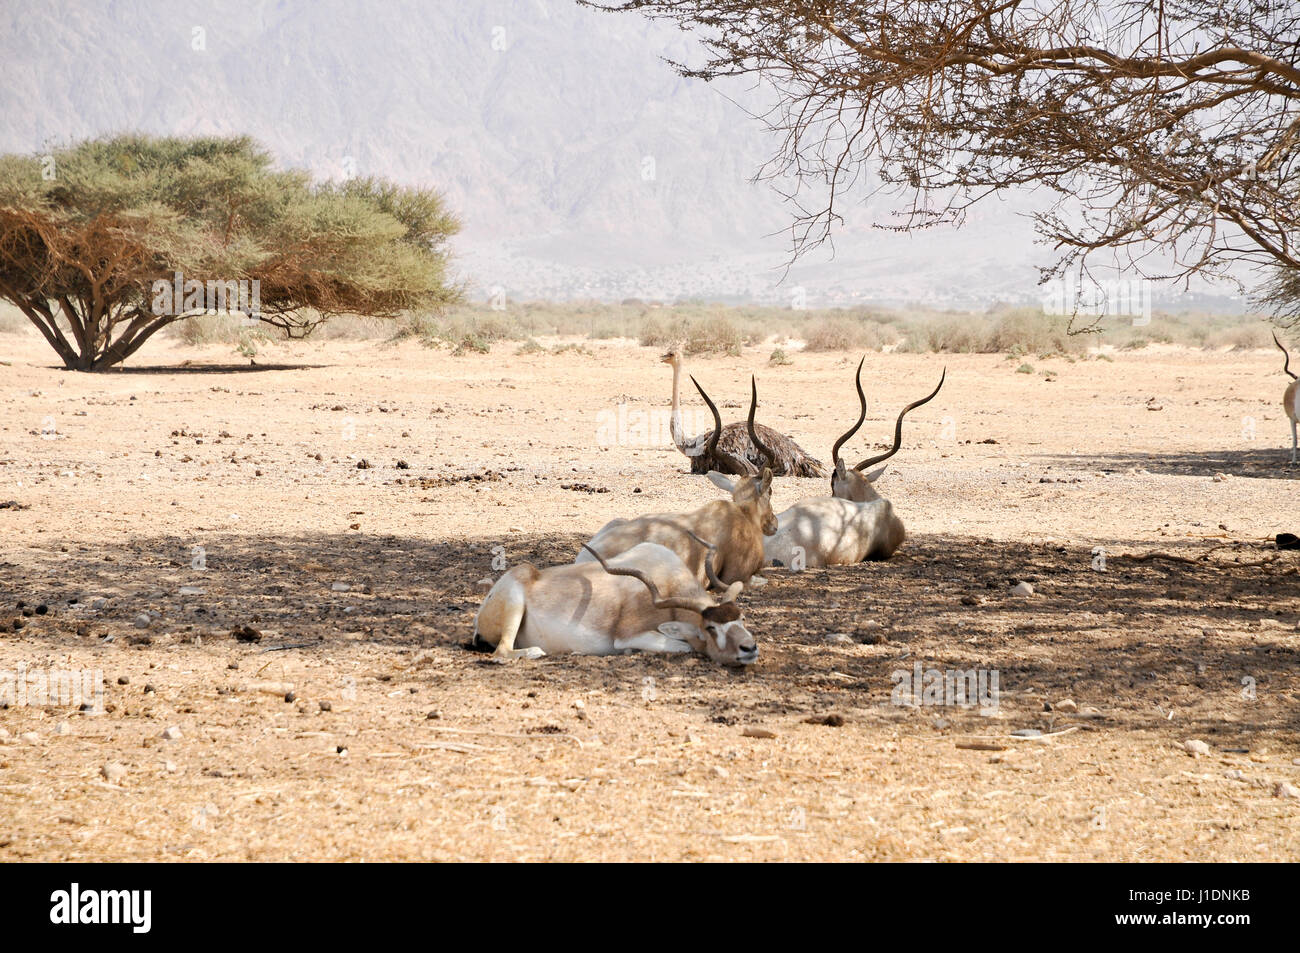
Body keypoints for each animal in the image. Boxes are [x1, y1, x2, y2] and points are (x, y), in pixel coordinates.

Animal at [473, 530, 759, 665]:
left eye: (741, 619)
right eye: (711, 628)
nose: (749, 648)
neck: (666, 578)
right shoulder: (627, 635)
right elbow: (685, 645)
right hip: (514, 604)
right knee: (501, 651)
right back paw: (536, 652)